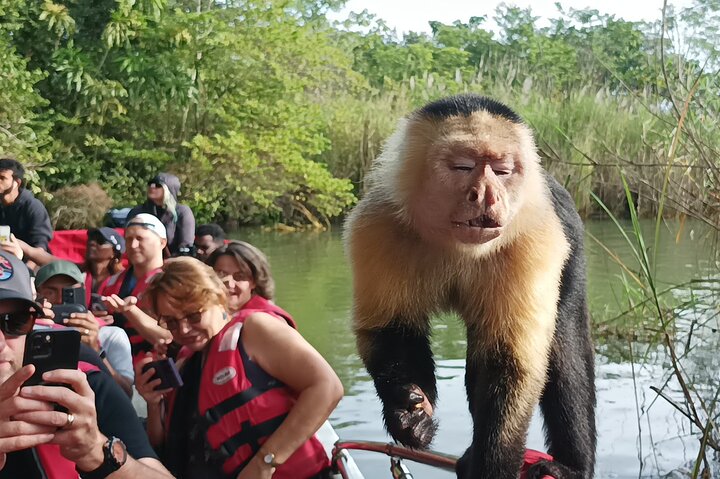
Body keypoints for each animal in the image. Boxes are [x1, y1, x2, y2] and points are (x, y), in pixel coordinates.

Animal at [344, 94, 596, 479]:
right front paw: (408, 413)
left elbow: (510, 363)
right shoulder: (377, 224)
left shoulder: (534, 239)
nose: (488, 195)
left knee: (563, 343)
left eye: (503, 170)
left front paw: (492, 465)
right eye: (462, 167)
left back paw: (570, 465)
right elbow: (390, 329)